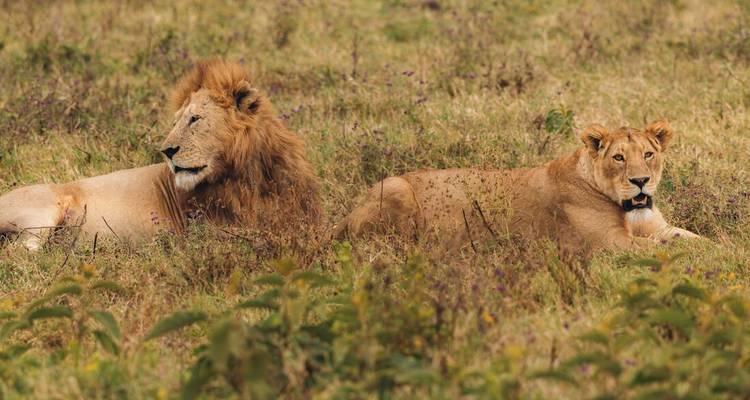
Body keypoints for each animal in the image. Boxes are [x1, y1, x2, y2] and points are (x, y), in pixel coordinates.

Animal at [0, 59, 322, 251]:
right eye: (176, 120)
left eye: (194, 119)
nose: (167, 151)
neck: (248, 177)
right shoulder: (215, 233)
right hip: (42, 214)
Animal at [334, 120, 700, 254]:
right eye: (619, 158)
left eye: (648, 154)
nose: (641, 181)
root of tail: (347, 213)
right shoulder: (609, 244)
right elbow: (666, 251)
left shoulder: (659, 227)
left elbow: (694, 240)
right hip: (396, 187)